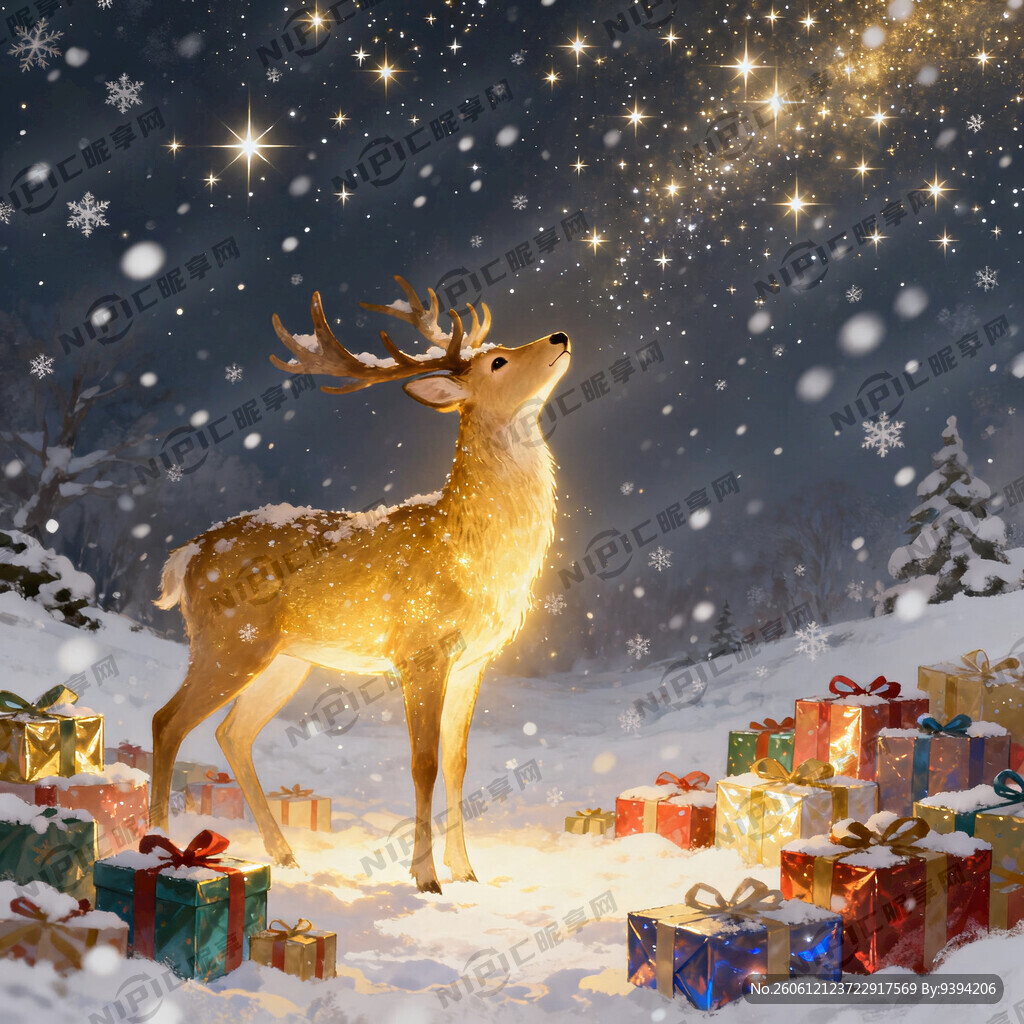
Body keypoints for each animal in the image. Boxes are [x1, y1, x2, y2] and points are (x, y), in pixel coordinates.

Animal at [150, 276, 571, 892]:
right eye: (498, 361)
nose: (560, 336)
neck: (468, 548)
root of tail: (184, 558)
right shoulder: (420, 648)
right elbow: (423, 764)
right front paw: (425, 878)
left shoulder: (474, 660)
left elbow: (458, 762)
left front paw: (467, 871)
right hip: (228, 640)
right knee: (168, 721)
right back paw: (151, 842)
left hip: (285, 660)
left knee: (233, 732)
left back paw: (284, 855)